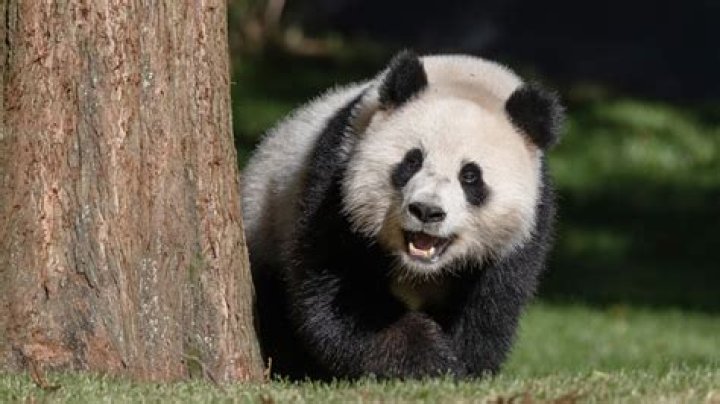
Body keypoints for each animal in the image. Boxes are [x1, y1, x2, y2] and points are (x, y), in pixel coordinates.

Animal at [242, 51, 564, 380]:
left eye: (470, 176)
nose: (427, 210)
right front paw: (429, 359)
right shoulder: (335, 179)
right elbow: (343, 295)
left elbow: (488, 311)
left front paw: (462, 364)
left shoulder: (528, 226)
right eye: (412, 161)